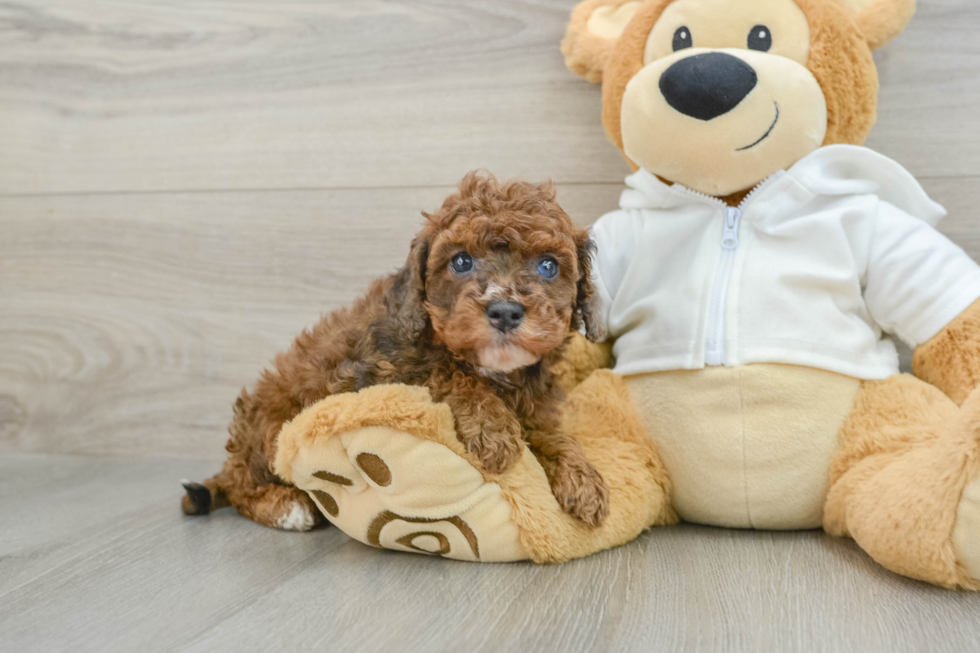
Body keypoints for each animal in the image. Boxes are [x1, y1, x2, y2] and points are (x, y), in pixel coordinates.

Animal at [183, 172, 608, 528]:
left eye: (548, 266)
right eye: (461, 261)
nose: (504, 311)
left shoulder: (536, 405)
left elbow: (551, 433)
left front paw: (581, 476)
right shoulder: (381, 371)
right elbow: (447, 373)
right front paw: (493, 428)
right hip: (268, 431)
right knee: (241, 487)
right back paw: (287, 508)